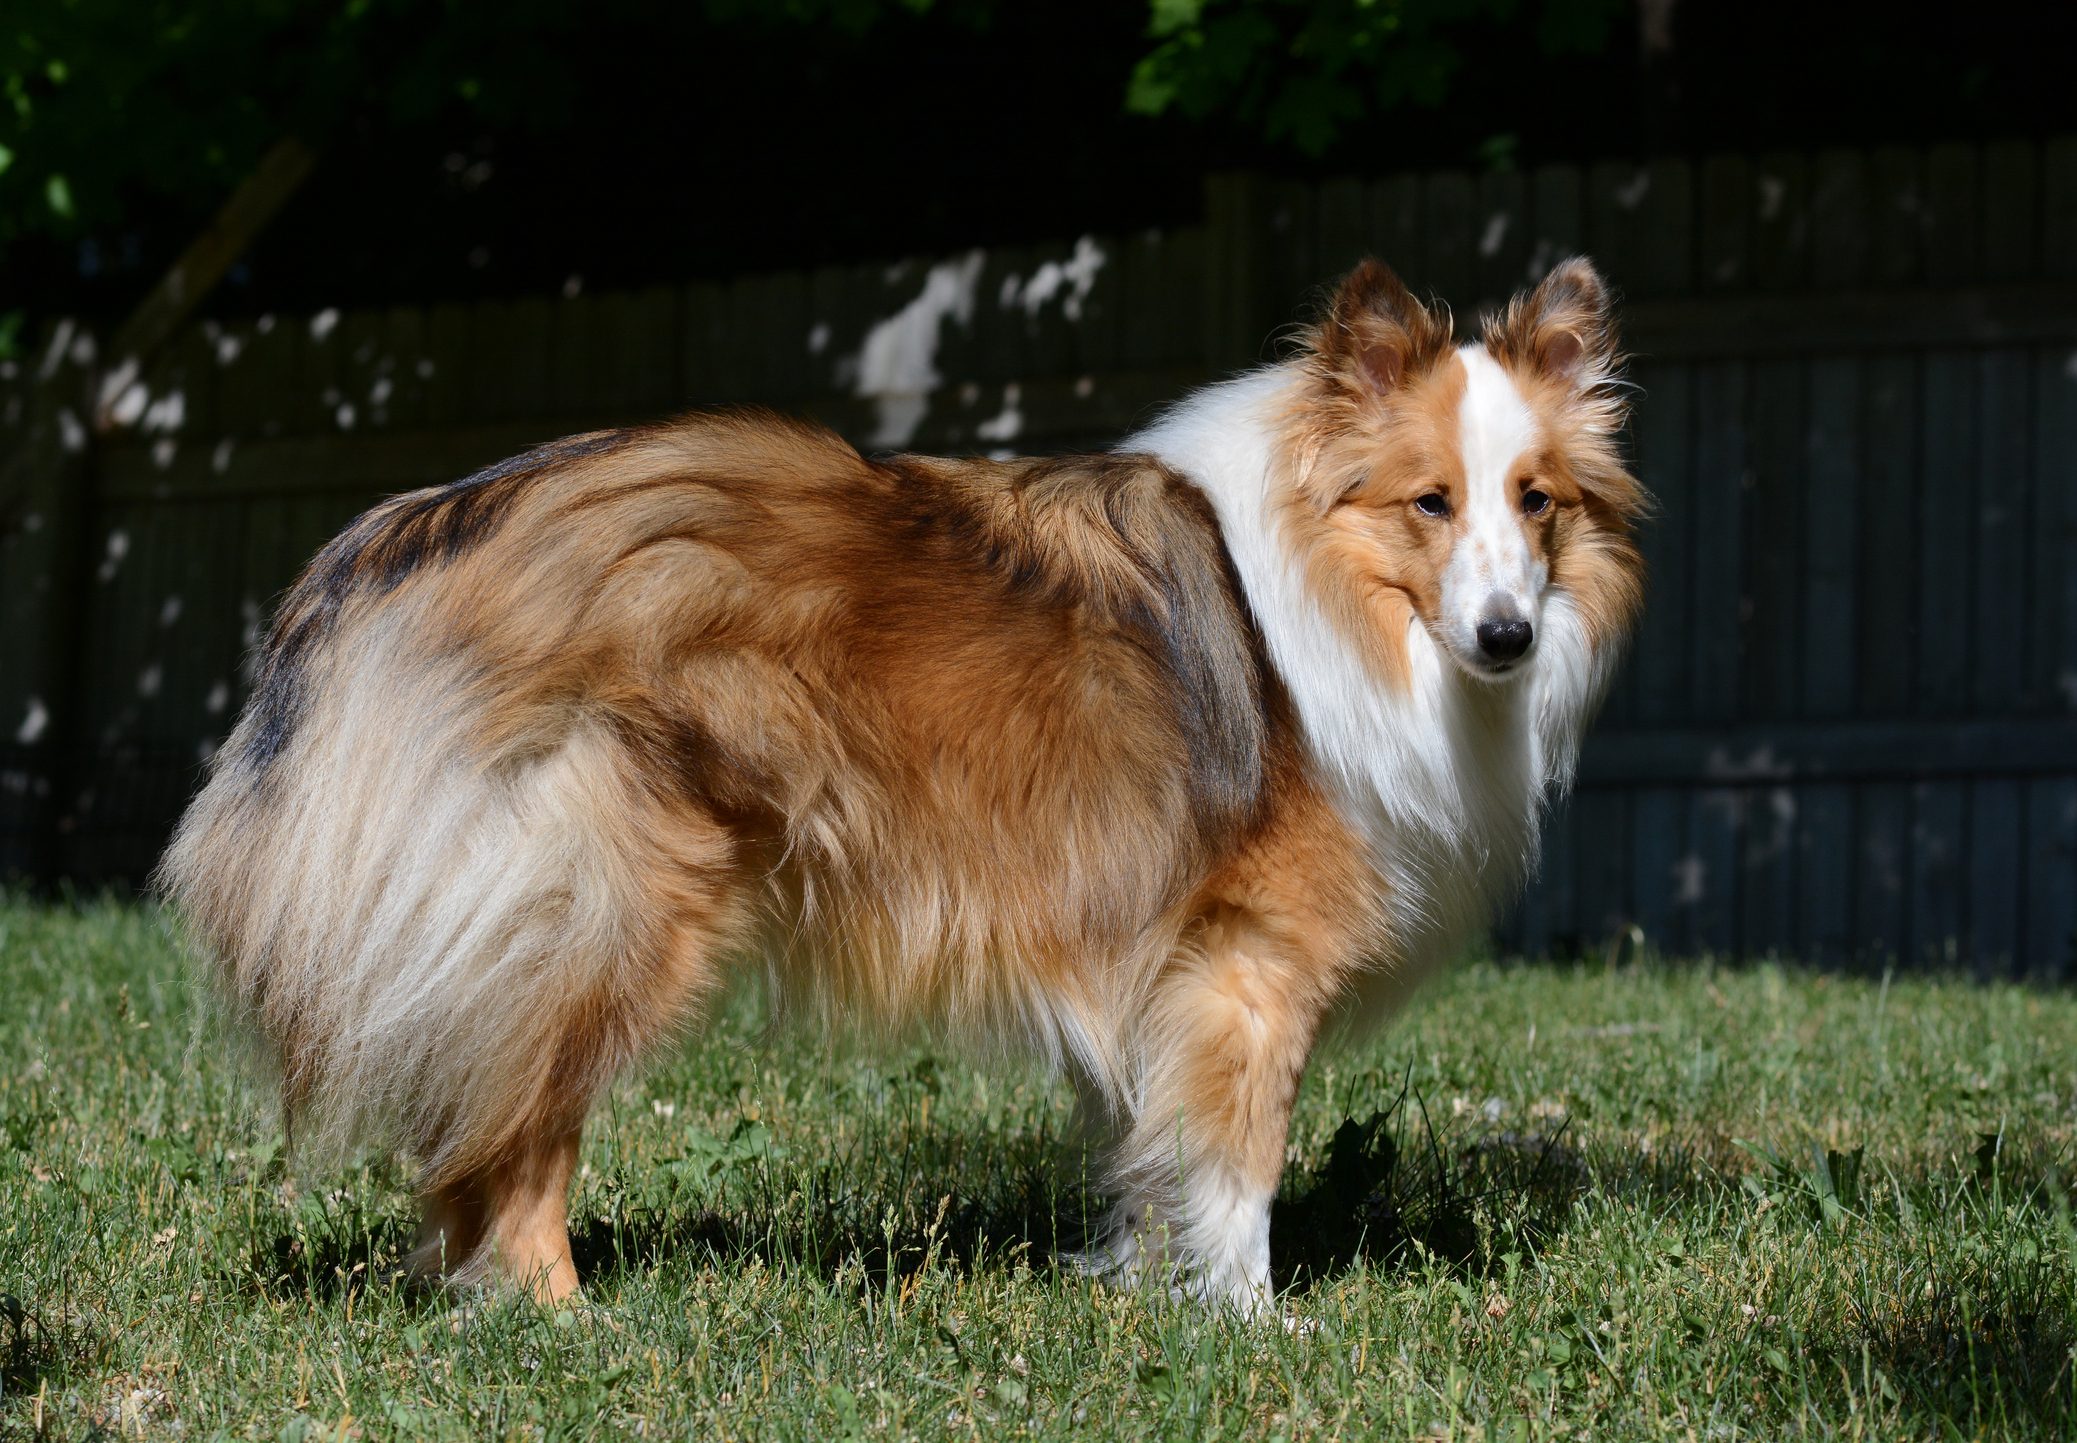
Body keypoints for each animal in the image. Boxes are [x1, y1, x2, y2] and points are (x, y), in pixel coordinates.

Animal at [162, 254, 1644, 1312]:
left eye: (1538, 501)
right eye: (1428, 501)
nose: (1505, 638)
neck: (1326, 589)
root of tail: (402, 530)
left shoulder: (1148, 969)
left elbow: (1144, 1149)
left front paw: (1134, 1288)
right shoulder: (1246, 959)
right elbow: (1237, 1165)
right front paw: (1248, 1324)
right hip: (608, 899)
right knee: (516, 1136)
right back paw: (560, 1316)